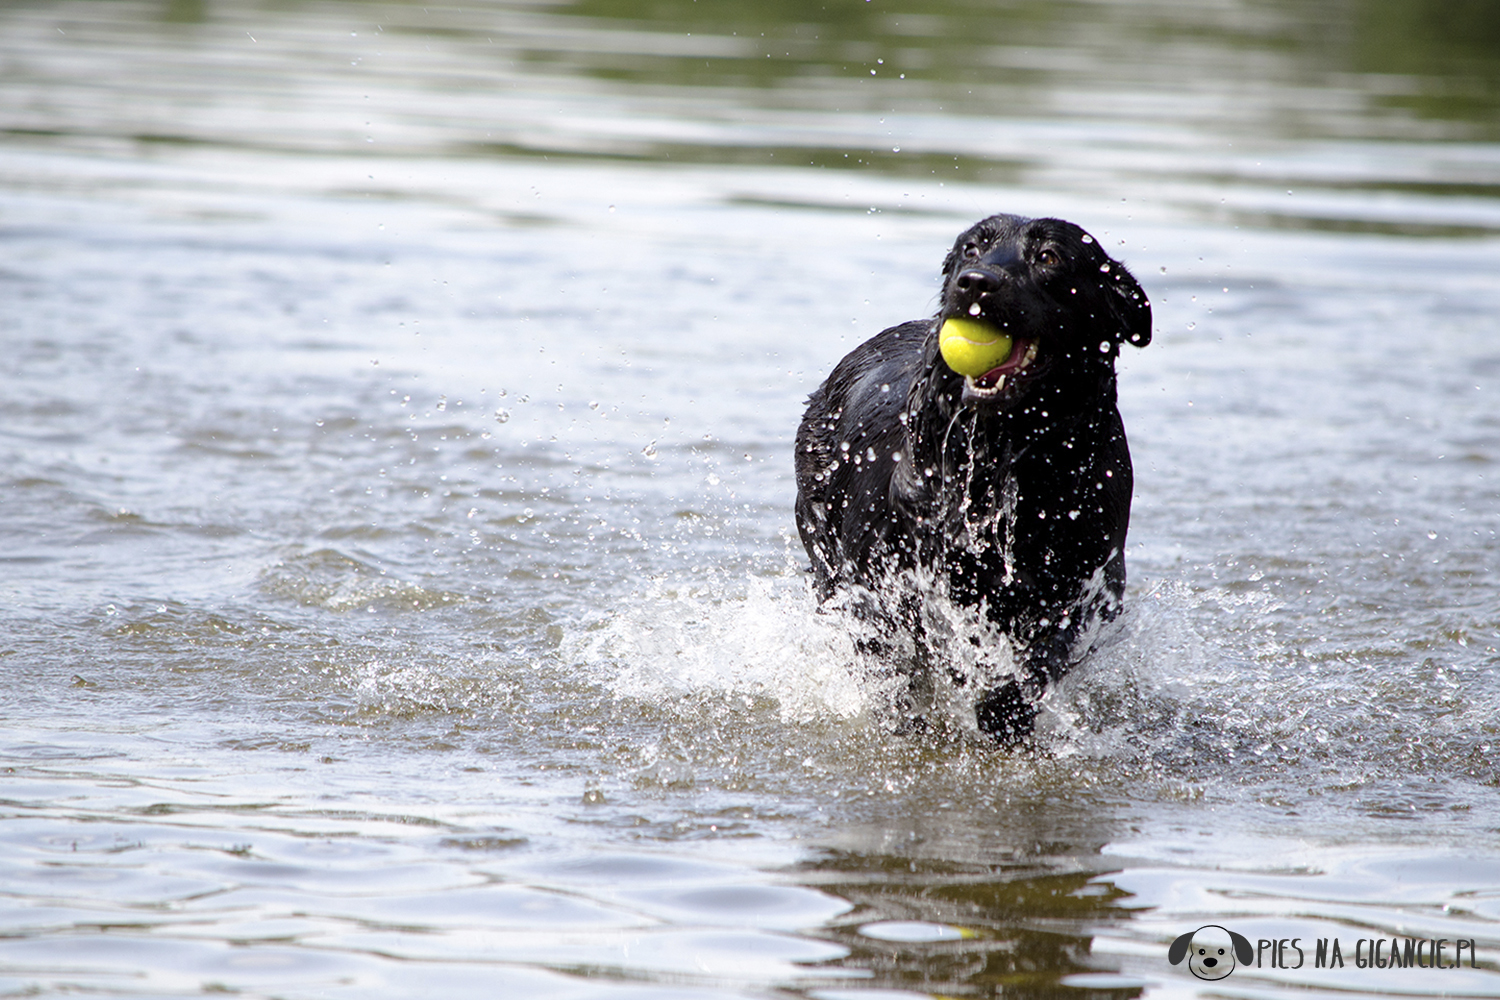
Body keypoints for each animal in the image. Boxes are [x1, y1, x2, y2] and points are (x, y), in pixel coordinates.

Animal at [798, 212, 1146, 743]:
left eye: (1049, 257)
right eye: (971, 250)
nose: (976, 282)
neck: (1002, 457)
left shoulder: (1086, 585)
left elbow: (1043, 656)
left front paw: (1004, 712)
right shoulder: (876, 580)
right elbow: (889, 654)